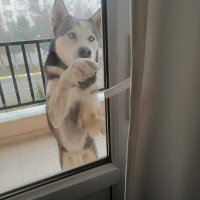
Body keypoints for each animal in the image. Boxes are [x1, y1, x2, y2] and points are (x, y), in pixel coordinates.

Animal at [44, 0, 105, 170]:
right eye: (71, 35)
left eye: (91, 38)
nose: (86, 51)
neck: (79, 85)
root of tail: (77, 159)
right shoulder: (54, 114)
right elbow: (64, 79)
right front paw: (74, 69)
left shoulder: (91, 122)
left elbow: (98, 121)